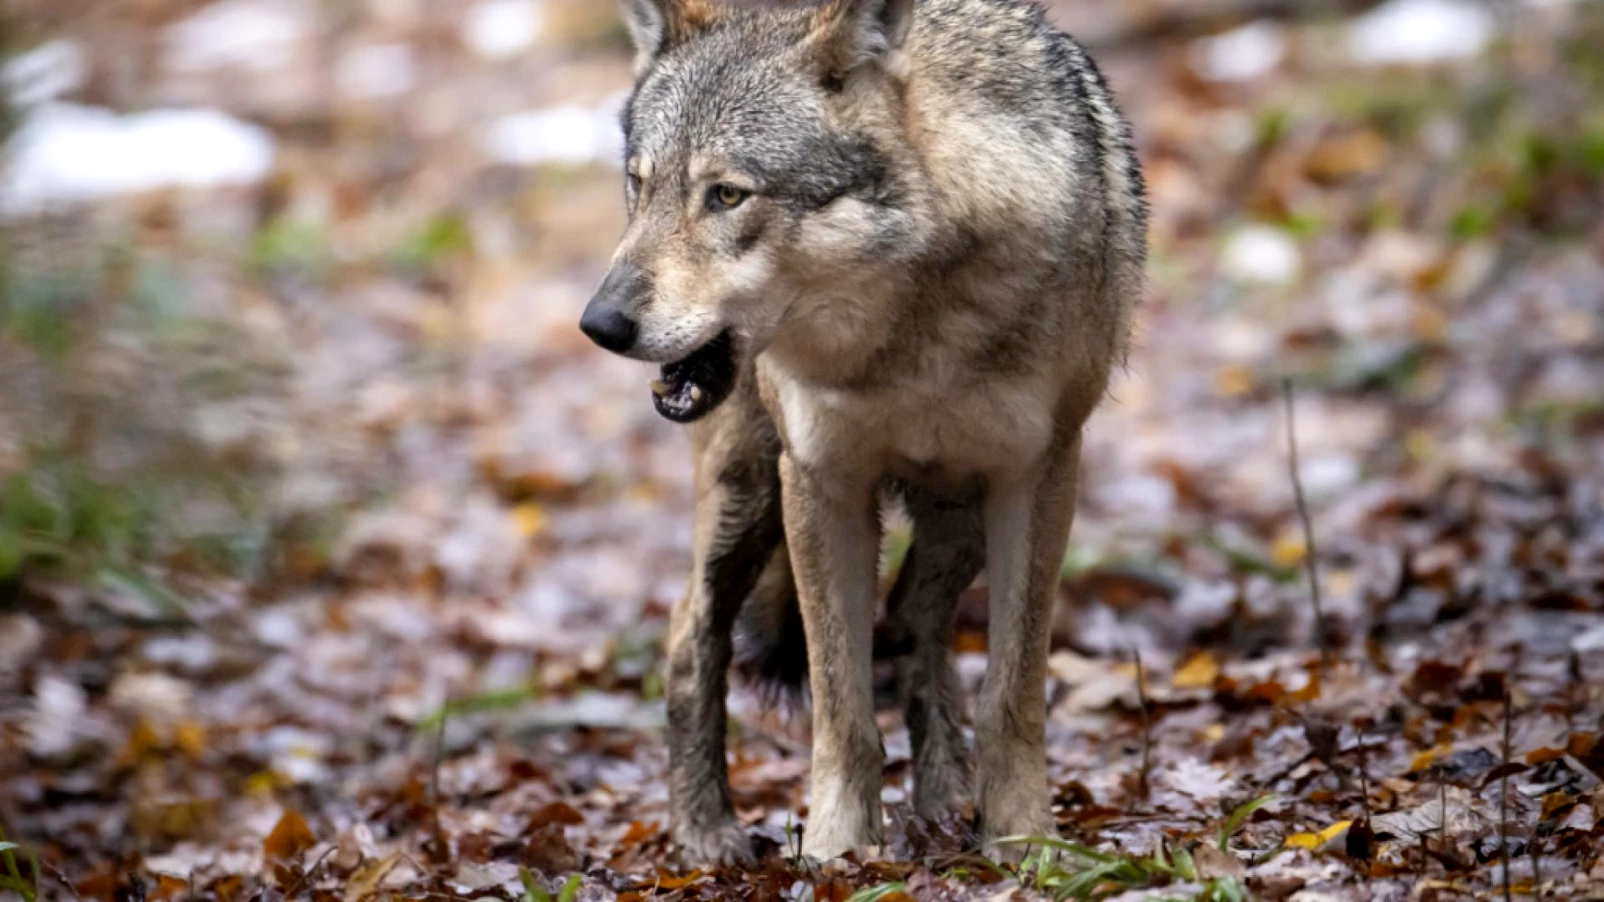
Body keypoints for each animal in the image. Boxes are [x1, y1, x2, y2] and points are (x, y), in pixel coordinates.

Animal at [578, 0, 1147, 865]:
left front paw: (1023, 841)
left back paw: (944, 800)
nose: (600, 324)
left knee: (913, 622)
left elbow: (1013, 693)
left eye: (727, 195)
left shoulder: (1039, 473)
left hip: (958, 515)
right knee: (690, 636)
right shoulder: (821, 480)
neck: (909, 337)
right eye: (639, 187)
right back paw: (705, 834)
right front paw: (837, 855)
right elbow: (840, 706)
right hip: (750, 494)